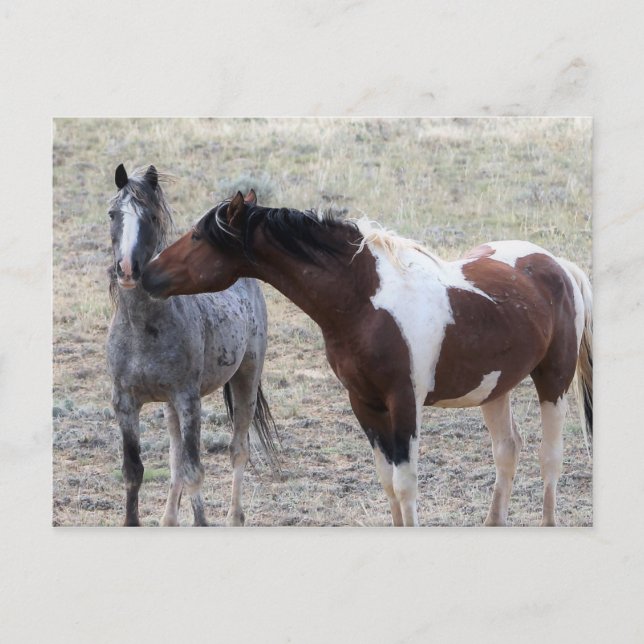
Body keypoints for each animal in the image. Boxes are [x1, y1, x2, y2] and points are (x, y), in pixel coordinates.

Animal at [106, 167, 277, 527]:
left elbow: (194, 470)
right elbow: (135, 471)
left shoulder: (189, 400)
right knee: (174, 460)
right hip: (169, 405)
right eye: (113, 214)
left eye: (151, 216)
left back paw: (234, 518)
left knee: (238, 449)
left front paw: (202, 522)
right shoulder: (125, 403)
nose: (127, 270)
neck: (143, 328)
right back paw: (169, 520)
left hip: (246, 377)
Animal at [142, 190, 593, 527]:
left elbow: (406, 483)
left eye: (198, 237)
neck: (364, 301)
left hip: (553, 382)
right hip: (494, 389)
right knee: (507, 451)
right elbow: (387, 481)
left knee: (550, 457)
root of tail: (558, 265)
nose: (146, 273)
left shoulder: (404, 402)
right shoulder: (364, 403)